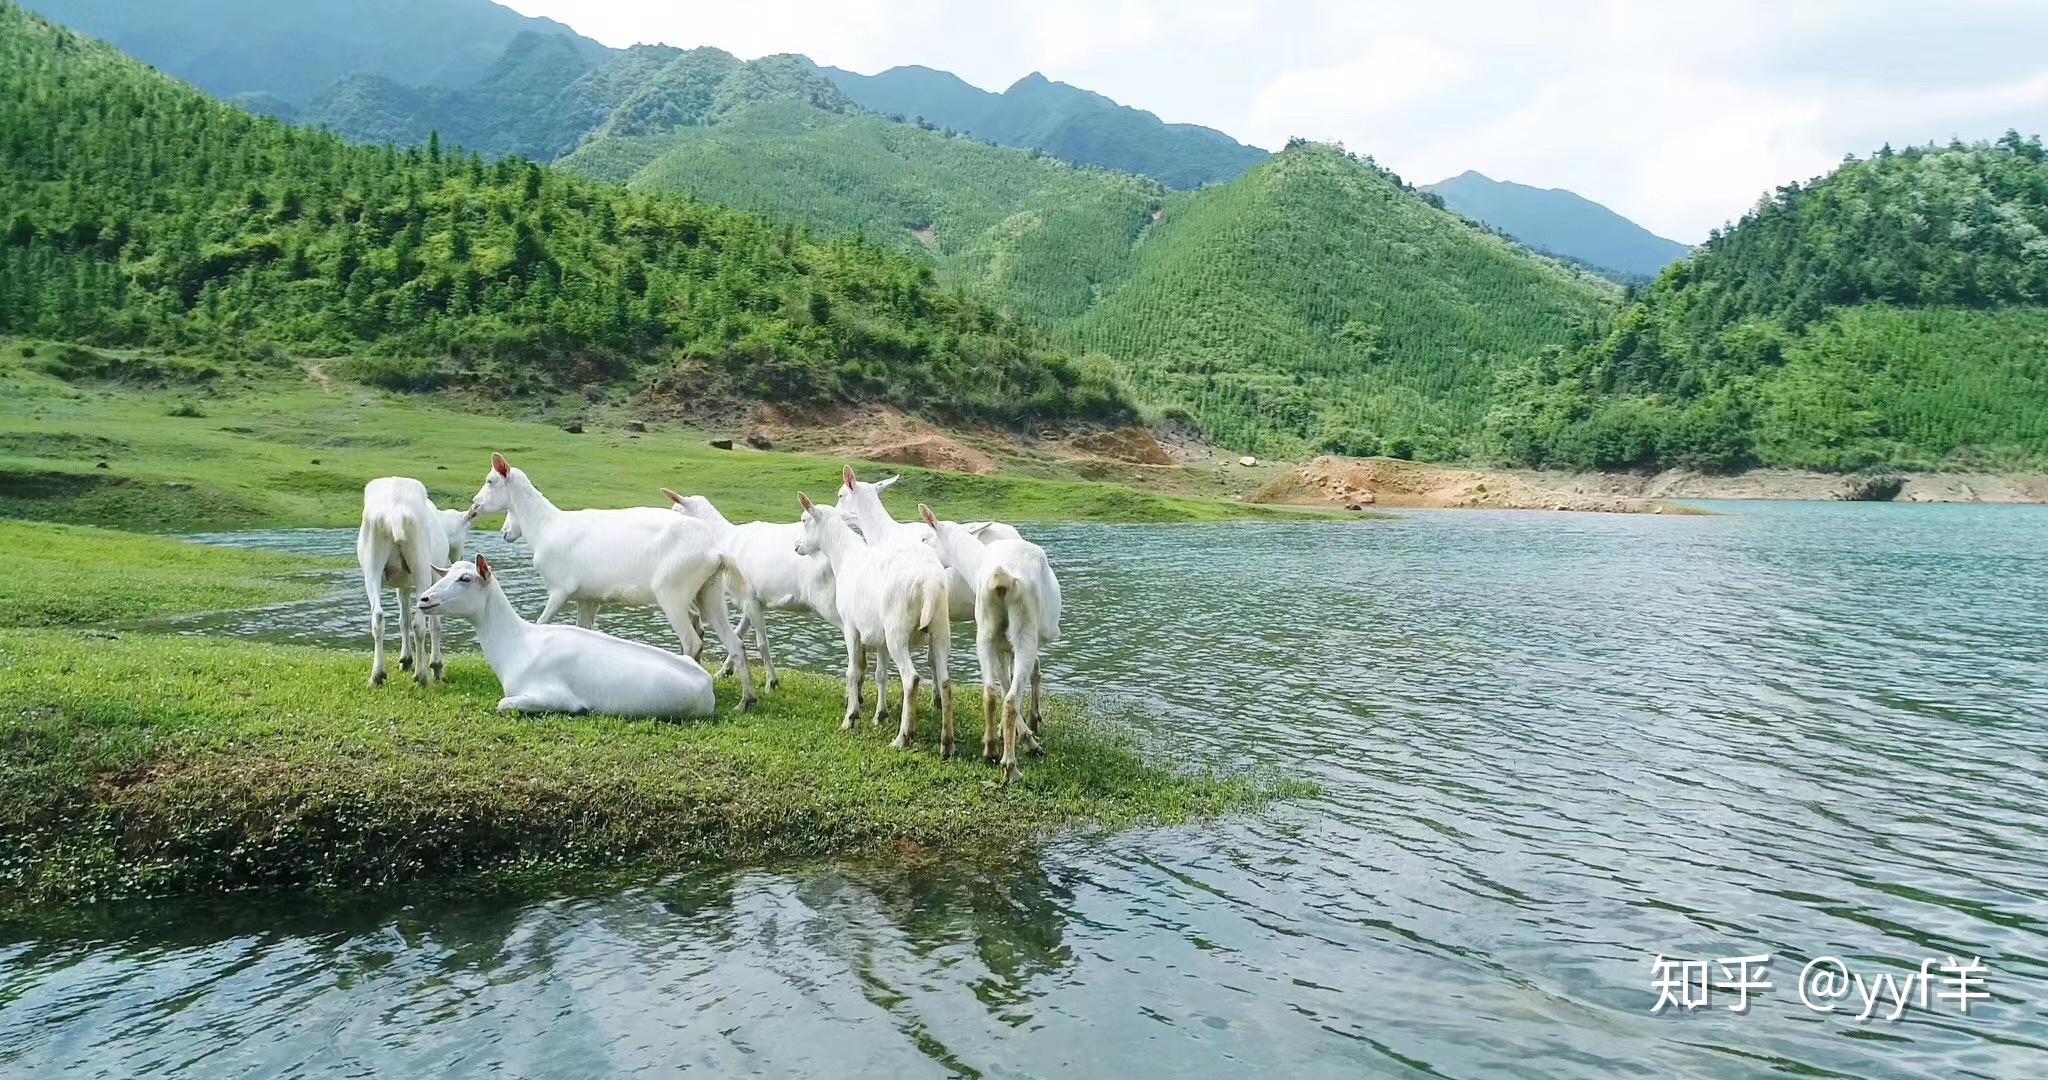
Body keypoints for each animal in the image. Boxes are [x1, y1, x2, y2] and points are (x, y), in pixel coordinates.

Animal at [358, 479, 477, 688]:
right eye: (467, 529)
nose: (460, 559)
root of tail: (395, 512)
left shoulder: (403, 585)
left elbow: (403, 620)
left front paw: (406, 660)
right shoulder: (437, 579)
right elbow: (435, 623)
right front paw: (436, 666)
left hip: (372, 563)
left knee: (378, 616)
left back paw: (377, 675)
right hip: (421, 564)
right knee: (419, 624)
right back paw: (421, 676)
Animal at [411, 557, 716, 717]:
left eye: (465, 579)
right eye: (445, 574)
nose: (424, 599)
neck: (517, 643)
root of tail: (708, 684)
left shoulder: (550, 694)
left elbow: (503, 704)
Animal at [468, 450, 757, 709]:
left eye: (490, 481)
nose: (474, 507)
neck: (545, 527)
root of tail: (715, 552)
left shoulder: (560, 590)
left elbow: (541, 622)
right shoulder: (587, 598)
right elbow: (583, 629)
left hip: (672, 592)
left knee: (692, 641)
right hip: (709, 591)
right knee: (735, 643)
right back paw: (746, 701)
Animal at [794, 493, 962, 758]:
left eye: (804, 520)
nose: (796, 547)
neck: (845, 556)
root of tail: (930, 583)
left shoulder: (850, 627)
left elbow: (853, 671)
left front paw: (851, 718)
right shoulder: (880, 638)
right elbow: (880, 675)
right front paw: (880, 715)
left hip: (897, 631)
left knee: (911, 679)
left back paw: (903, 737)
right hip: (939, 628)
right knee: (946, 683)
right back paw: (947, 743)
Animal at [921, 502, 1064, 782]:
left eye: (924, 539)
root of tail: (1001, 578)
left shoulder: (1000, 643)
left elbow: (1004, 679)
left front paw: (1012, 734)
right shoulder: (1014, 644)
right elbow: (1023, 680)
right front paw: (1029, 735)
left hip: (985, 630)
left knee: (990, 690)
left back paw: (989, 749)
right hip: (1024, 631)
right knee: (1010, 697)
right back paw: (1011, 766)